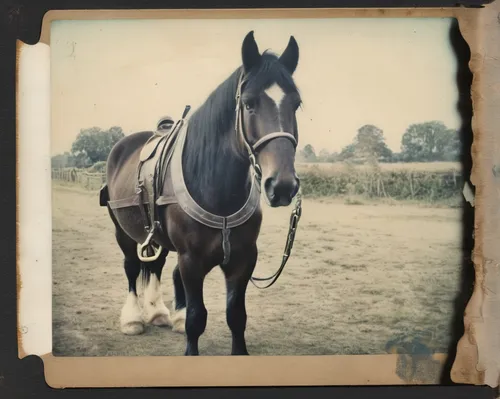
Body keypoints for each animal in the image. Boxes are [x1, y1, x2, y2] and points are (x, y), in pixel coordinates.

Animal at [98, 30, 300, 356]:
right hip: (124, 232)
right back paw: (133, 318)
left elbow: (236, 316)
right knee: (131, 268)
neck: (218, 191)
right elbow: (196, 318)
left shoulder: (244, 259)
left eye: (296, 104)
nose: (281, 185)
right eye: (249, 103)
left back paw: (158, 312)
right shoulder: (191, 259)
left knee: (157, 266)